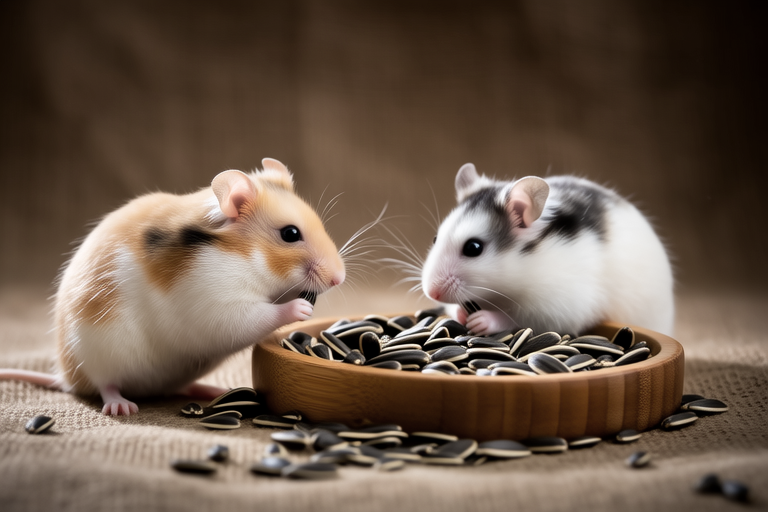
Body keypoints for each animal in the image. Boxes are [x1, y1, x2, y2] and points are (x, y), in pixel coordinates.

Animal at [0, 158, 345, 415]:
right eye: (290, 234)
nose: (339, 278)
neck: (246, 257)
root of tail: (68, 378)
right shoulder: (215, 303)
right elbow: (257, 316)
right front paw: (301, 308)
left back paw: (215, 389)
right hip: (97, 356)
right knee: (105, 385)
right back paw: (122, 406)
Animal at [421, 163, 674, 336]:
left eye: (474, 248)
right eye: (435, 238)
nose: (431, 293)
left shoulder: (558, 306)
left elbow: (518, 319)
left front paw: (480, 321)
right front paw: (462, 314)